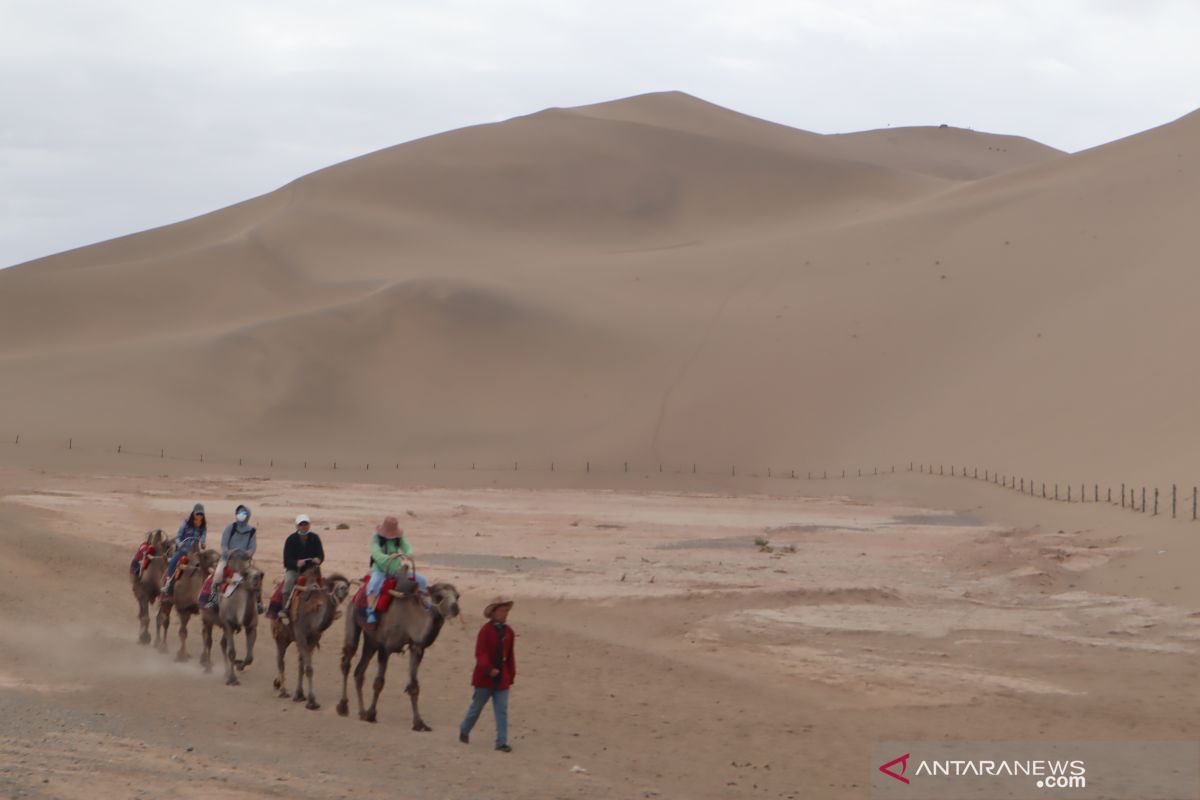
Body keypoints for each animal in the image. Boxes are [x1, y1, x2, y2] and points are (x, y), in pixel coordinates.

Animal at [199, 554, 262, 686]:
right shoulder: (228, 624)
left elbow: (250, 657)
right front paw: (233, 679)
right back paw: (208, 668)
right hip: (207, 619)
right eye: (246, 574)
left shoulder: (251, 627)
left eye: (261, 574)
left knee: (222, 644)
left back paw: (225, 672)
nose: (256, 579)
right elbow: (232, 652)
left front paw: (239, 666)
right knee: (208, 640)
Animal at [270, 566, 350, 710]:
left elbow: (304, 666)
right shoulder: (300, 634)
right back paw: (283, 691)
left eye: (341, 586)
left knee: (295, 661)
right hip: (280, 636)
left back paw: (279, 684)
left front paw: (300, 695)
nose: (344, 588)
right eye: (334, 587)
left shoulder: (313, 638)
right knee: (280, 660)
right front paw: (312, 702)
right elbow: (308, 668)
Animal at [338, 575, 458, 734]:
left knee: (359, 672)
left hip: (371, 641)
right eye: (438, 596)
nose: (455, 608)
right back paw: (343, 707)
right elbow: (379, 683)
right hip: (353, 619)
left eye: (457, 596)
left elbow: (414, 686)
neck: (410, 621)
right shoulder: (385, 647)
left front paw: (419, 723)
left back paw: (362, 712)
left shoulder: (417, 647)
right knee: (347, 661)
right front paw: (372, 714)